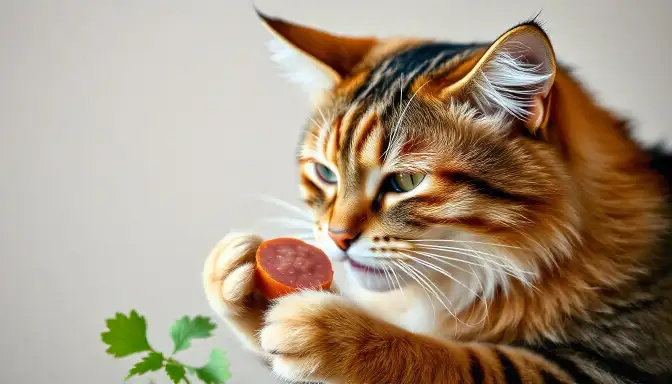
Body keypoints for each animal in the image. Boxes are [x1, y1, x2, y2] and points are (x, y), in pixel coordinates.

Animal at [202, 9, 672, 384]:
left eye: (406, 182)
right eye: (325, 173)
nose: (335, 238)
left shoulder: (607, 366)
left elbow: (465, 360)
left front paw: (333, 332)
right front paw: (241, 281)